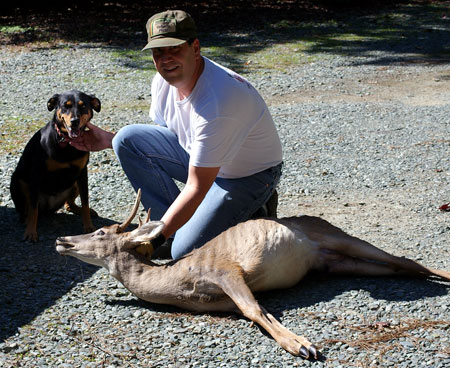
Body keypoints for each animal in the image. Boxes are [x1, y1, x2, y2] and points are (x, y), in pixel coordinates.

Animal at [9, 90, 102, 242]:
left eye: (83, 106)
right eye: (66, 105)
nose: (74, 121)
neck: (67, 144)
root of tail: (48, 208)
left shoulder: (82, 172)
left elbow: (85, 201)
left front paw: (89, 226)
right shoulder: (36, 173)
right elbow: (33, 208)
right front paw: (31, 232)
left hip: (74, 182)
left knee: (69, 204)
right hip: (18, 181)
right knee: (27, 209)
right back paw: (25, 219)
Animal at [55, 190, 450, 360]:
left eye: (100, 232)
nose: (62, 240)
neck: (179, 282)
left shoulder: (228, 271)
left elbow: (254, 311)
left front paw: (303, 346)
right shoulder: (224, 300)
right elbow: (260, 312)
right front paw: (300, 342)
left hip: (338, 237)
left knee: (407, 260)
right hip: (336, 263)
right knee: (399, 267)